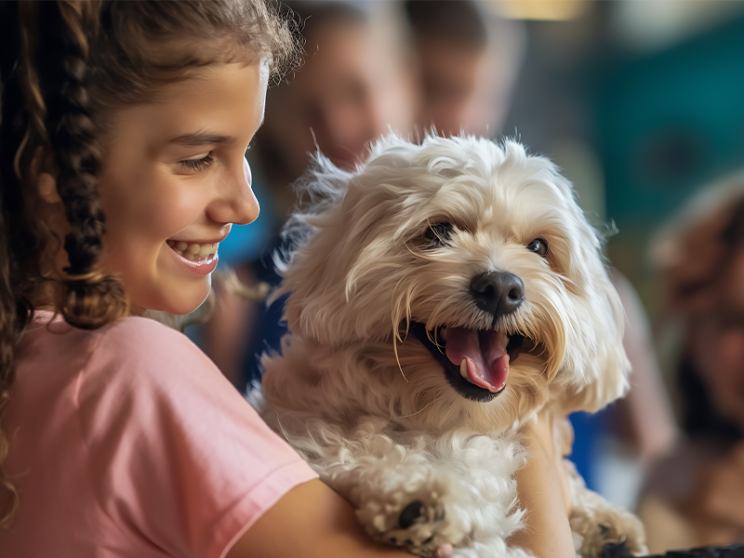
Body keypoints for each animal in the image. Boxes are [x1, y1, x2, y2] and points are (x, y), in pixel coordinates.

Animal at [254, 136, 644, 558]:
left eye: (539, 247)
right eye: (438, 232)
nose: (501, 288)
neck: (449, 422)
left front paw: (604, 520)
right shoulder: (308, 434)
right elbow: (354, 450)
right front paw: (418, 493)